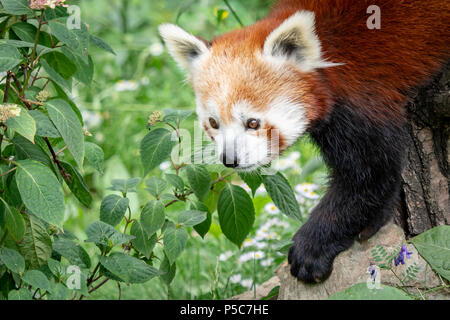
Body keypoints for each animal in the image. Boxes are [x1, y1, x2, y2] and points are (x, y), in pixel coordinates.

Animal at [160, 0, 448, 282]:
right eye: (213, 123)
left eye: (253, 123)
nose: (230, 160)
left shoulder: (362, 94)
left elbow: (369, 177)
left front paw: (312, 249)